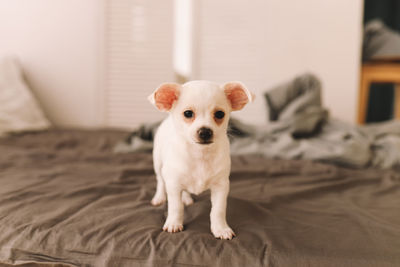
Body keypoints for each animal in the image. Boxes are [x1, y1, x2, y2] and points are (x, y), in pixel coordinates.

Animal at [148, 80, 255, 241]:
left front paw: (220, 228)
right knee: (160, 181)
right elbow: (176, 207)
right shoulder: (173, 184)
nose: (205, 131)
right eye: (188, 113)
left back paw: (186, 198)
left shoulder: (221, 187)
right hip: (158, 163)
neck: (200, 155)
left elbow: (218, 210)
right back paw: (159, 197)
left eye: (219, 114)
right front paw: (174, 223)